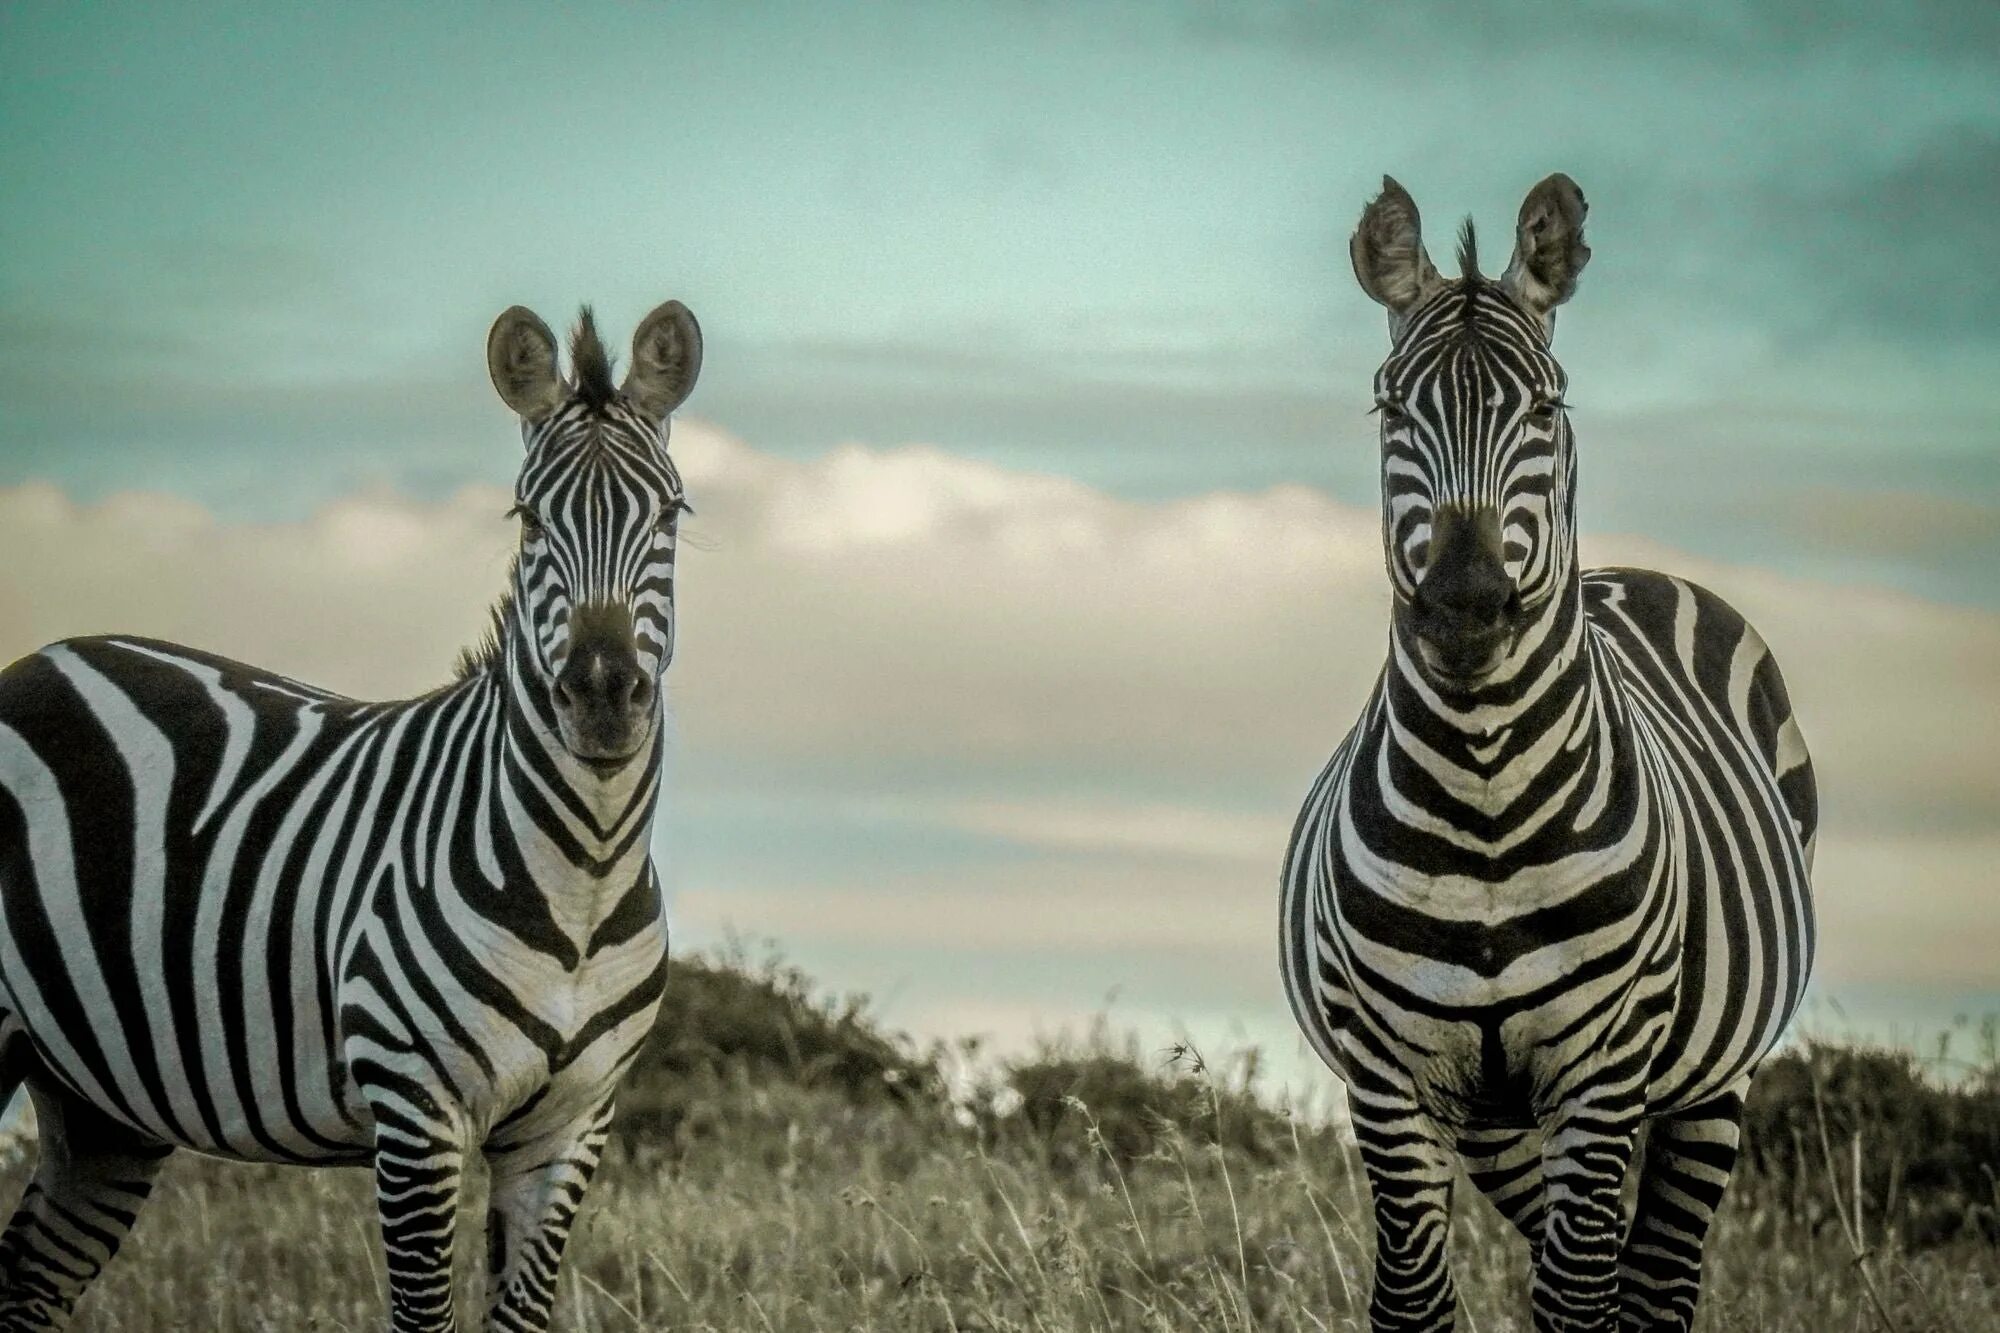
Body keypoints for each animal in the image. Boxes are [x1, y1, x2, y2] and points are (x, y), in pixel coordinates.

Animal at [0, 300, 704, 1328]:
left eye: (671, 513)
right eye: (529, 517)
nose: (604, 697)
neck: (585, 871)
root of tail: (36, 662)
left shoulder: (569, 1127)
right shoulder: (414, 1112)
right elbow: (423, 1314)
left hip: (96, 1101)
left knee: (28, 1281)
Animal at [1280, 176, 1816, 1328]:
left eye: (1545, 410)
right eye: (1390, 410)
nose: (1468, 604)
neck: (1485, 784)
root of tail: (1630, 573)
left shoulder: (1602, 1072)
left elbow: (1578, 1299)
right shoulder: (1389, 1077)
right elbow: (1416, 1299)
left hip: (1711, 1079)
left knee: (1649, 1283)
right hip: (1494, 1119)